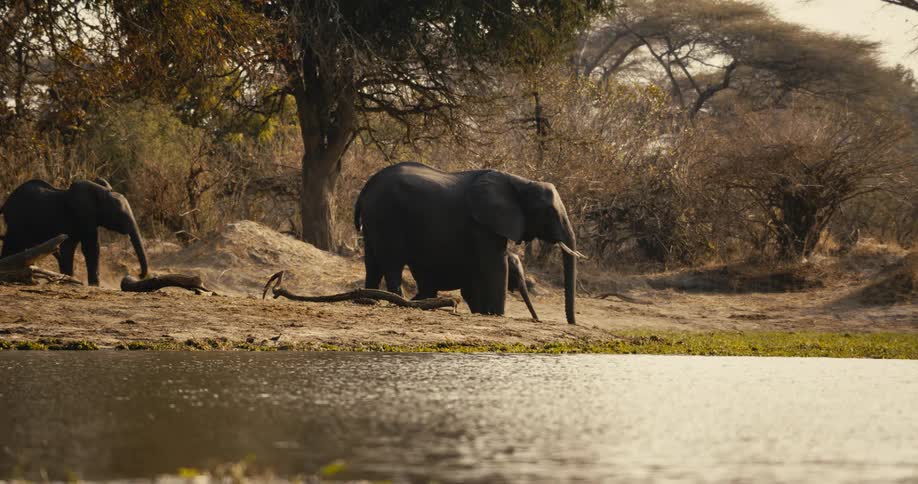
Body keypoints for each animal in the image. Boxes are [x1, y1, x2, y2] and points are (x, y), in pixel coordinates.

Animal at [0, 178, 148, 286]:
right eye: (121, 215)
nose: (139, 275)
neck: (101, 193)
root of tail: (6, 202)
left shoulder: (89, 219)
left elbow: (92, 248)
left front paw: (93, 285)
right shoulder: (77, 216)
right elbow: (70, 247)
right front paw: (69, 281)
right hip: (17, 221)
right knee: (12, 243)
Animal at [354, 162, 583, 324]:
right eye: (549, 213)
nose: (572, 323)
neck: (521, 183)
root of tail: (366, 186)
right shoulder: (484, 223)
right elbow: (496, 265)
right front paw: (498, 316)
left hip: (374, 217)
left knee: (372, 263)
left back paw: (368, 300)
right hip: (387, 215)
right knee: (392, 264)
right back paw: (399, 302)